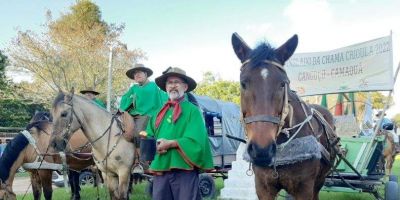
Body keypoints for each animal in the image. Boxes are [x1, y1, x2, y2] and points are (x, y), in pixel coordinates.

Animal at [231, 33, 340, 199]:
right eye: (243, 83)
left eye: (283, 84)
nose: (262, 150)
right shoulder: (263, 187)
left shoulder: (305, 188)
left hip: (320, 180)